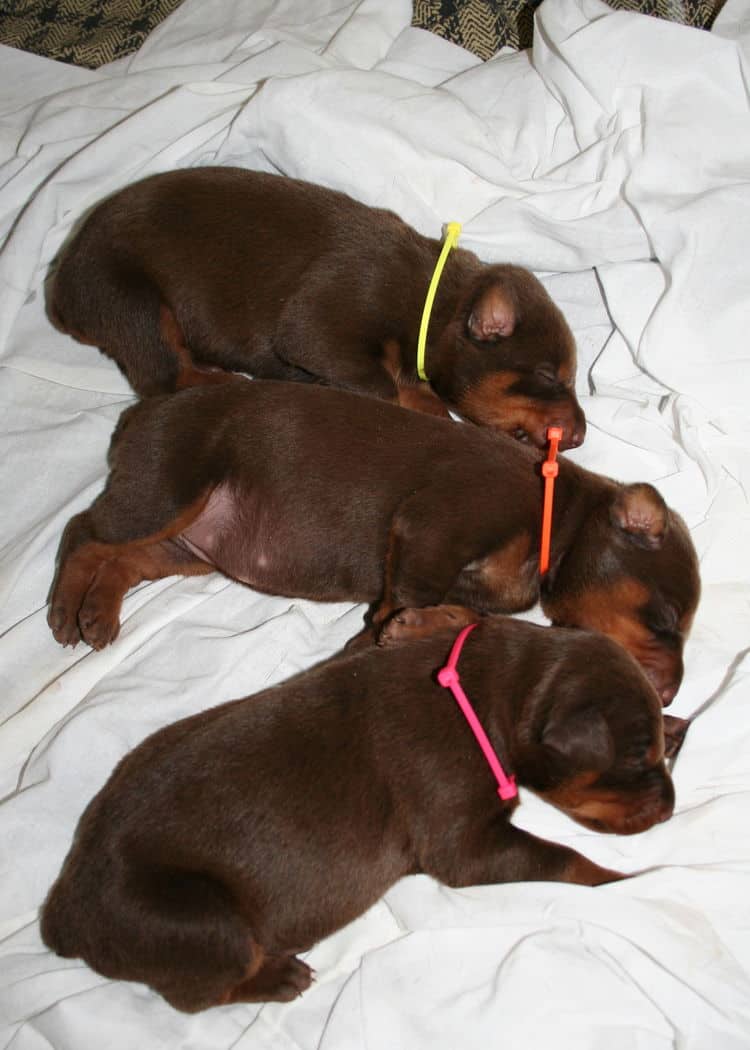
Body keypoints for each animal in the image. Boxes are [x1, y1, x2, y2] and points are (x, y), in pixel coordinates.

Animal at [40, 613, 672, 1012]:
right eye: (638, 759)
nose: (671, 806)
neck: (488, 691)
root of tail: (65, 914)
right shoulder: (464, 844)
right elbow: (564, 859)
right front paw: (626, 880)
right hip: (195, 920)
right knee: (199, 993)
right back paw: (280, 976)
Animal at [45, 163, 584, 447]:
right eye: (550, 376)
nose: (580, 436)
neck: (429, 304)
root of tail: (62, 286)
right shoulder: (321, 323)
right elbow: (380, 384)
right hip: (132, 298)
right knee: (164, 373)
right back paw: (223, 380)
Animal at [48, 382, 701, 701]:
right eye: (665, 620)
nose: (670, 693)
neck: (554, 519)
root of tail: (142, 413)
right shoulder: (436, 526)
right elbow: (408, 601)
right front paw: (382, 643)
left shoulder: (466, 578)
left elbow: (468, 615)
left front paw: (417, 630)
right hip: (168, 490)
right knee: (85, 534)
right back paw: (64, 608)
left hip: (188, 547)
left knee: (122, 560)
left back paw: (97, 614)